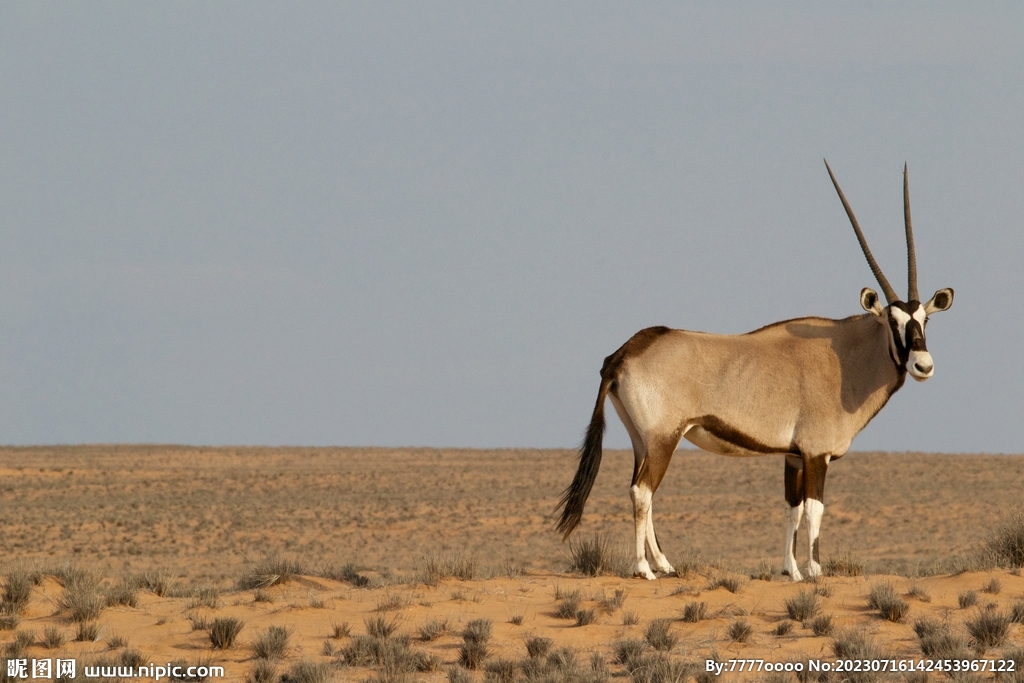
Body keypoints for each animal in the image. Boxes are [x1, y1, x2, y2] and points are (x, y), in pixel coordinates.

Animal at [561, 161, 950, 581]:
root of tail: (623, 353)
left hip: (641, 440)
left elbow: (792, 509)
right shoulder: (816, 454)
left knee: (638, 488)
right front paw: (815, 570)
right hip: (664, 438)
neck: (844, 356)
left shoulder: (793, 455)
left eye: (924, 319)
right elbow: (815, 511)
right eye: (893, 322)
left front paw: (791, 571)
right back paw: (644, 569)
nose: (923, 365)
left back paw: (664, 564)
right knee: (642, 492)